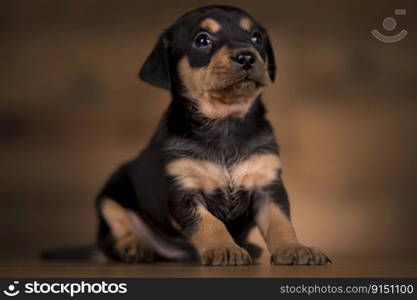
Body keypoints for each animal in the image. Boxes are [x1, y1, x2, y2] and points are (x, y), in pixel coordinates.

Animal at [57, 5, 332, 266]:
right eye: (202, 40)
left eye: (256, 37)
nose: (246, 56)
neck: (225, 123)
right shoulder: (183, 190)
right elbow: (209, 223)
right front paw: (224, 249)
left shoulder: (268, 186)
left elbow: (279, 222)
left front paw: (294, 248)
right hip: (110, 194)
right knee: (114, 234)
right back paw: (132, 247)